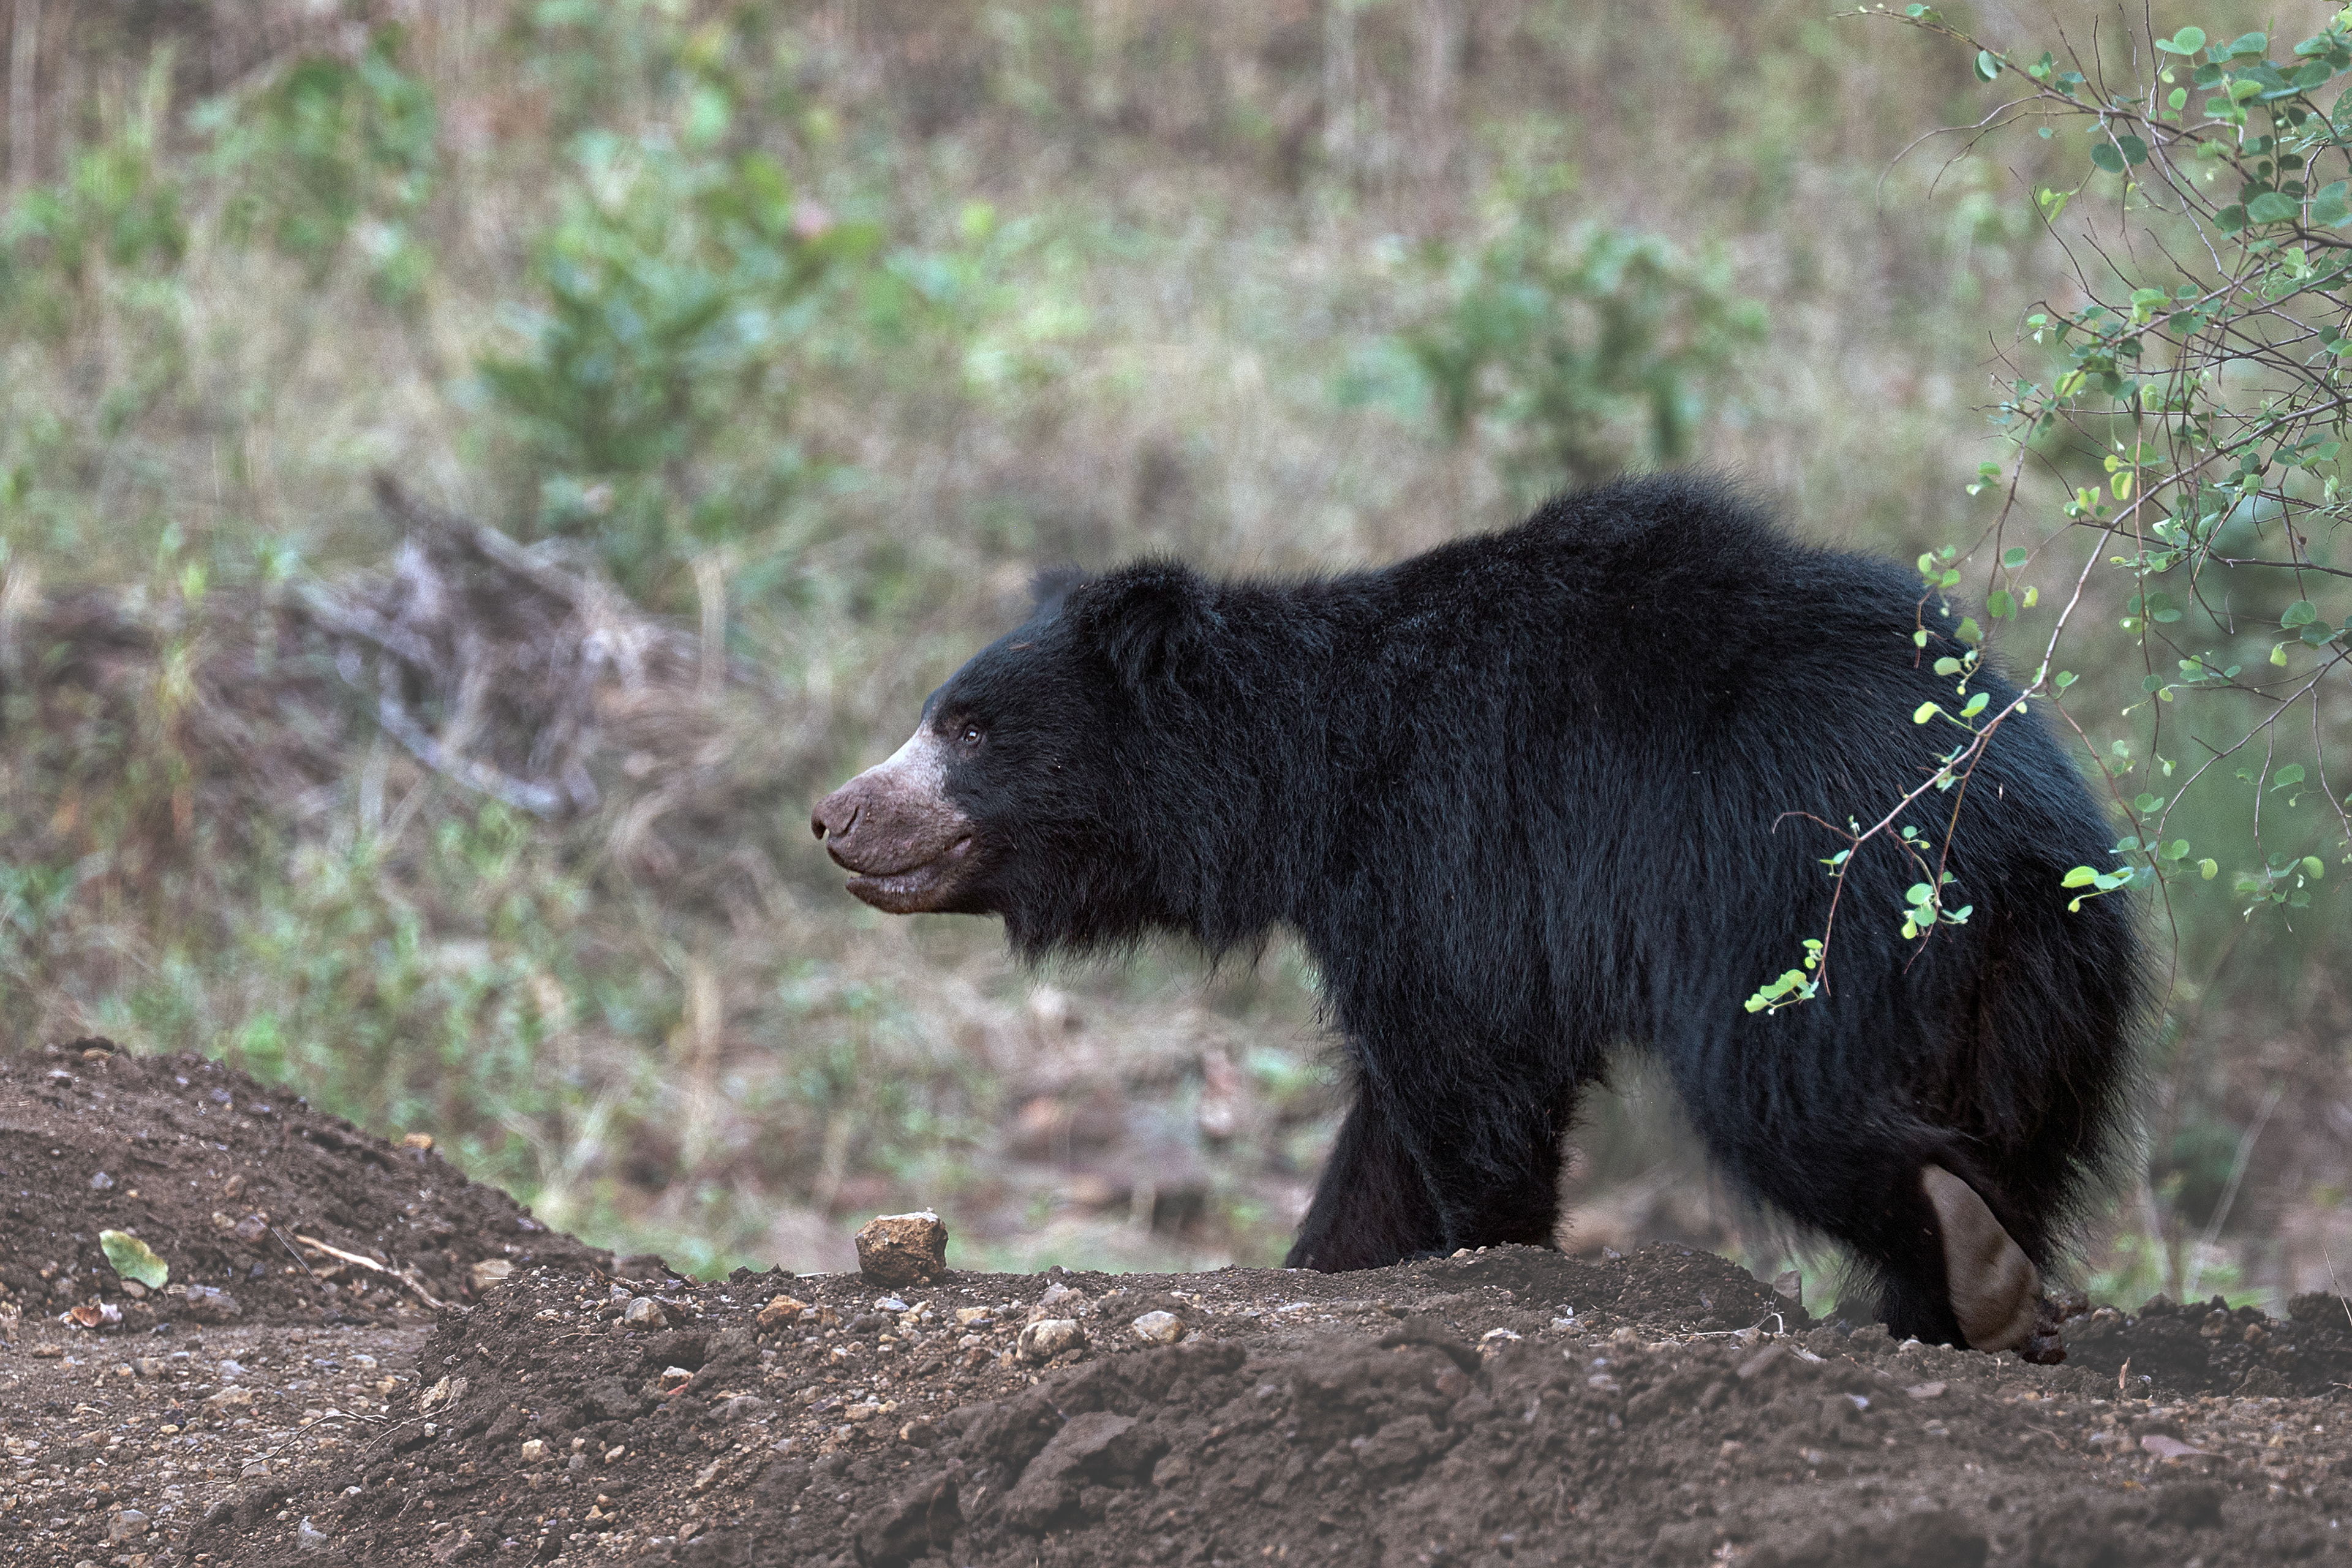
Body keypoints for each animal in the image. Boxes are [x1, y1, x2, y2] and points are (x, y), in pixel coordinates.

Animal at [811, 474, 2143, 1354]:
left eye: (968, 729)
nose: (833, 816)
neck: (1314, 774)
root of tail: (2015, 832)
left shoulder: (1449, 848)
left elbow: (1466, 1067)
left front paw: (1492, 1259)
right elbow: (1391, 1135)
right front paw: (1336, 1259)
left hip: (1802, 915)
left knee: (1789, 1103)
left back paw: (1968, 1263)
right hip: (2042, 995)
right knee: (2016, 1137)